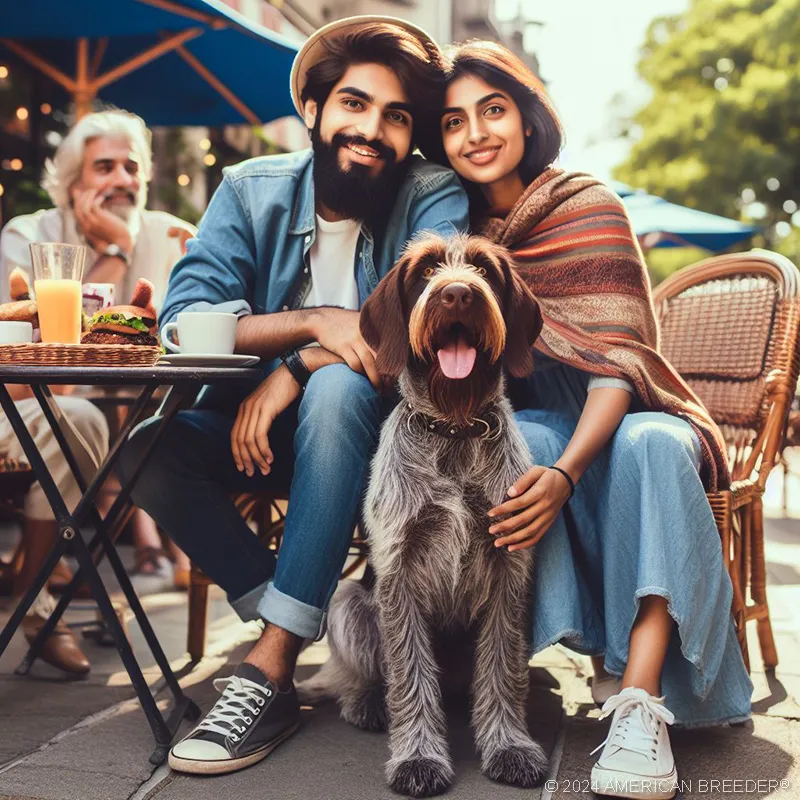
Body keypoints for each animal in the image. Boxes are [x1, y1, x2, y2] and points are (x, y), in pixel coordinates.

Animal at [304, 234, 548, 796]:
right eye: (427, 270)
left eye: (484, 269)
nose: (458, 294)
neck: (454, 428)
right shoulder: (399, 574)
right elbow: (409, 675)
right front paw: (418, 757)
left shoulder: (508, 569)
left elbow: (502, 668)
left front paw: (508, 745)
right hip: (349, 602)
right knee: (364, 674)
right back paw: (365, 702)